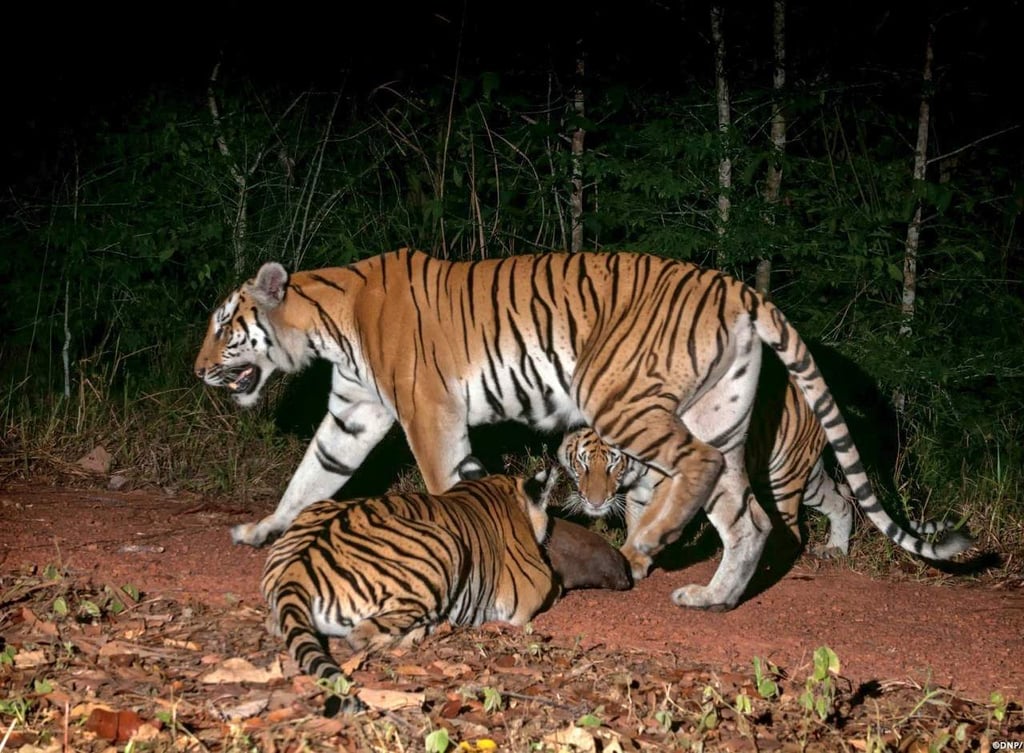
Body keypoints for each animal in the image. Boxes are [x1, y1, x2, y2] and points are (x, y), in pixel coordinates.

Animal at [193, 252, 966, 614]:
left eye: (226, 327)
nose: (198, 369)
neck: (327, 324)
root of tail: (740, 288)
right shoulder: (355, 413)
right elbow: (309, 476)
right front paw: (261, 530)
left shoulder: (426, 411)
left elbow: (447, 485)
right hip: (719, 412)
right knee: (745, 515)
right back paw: (711, 595)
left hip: (622, 395)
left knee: (697, 468)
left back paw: (648, 540)